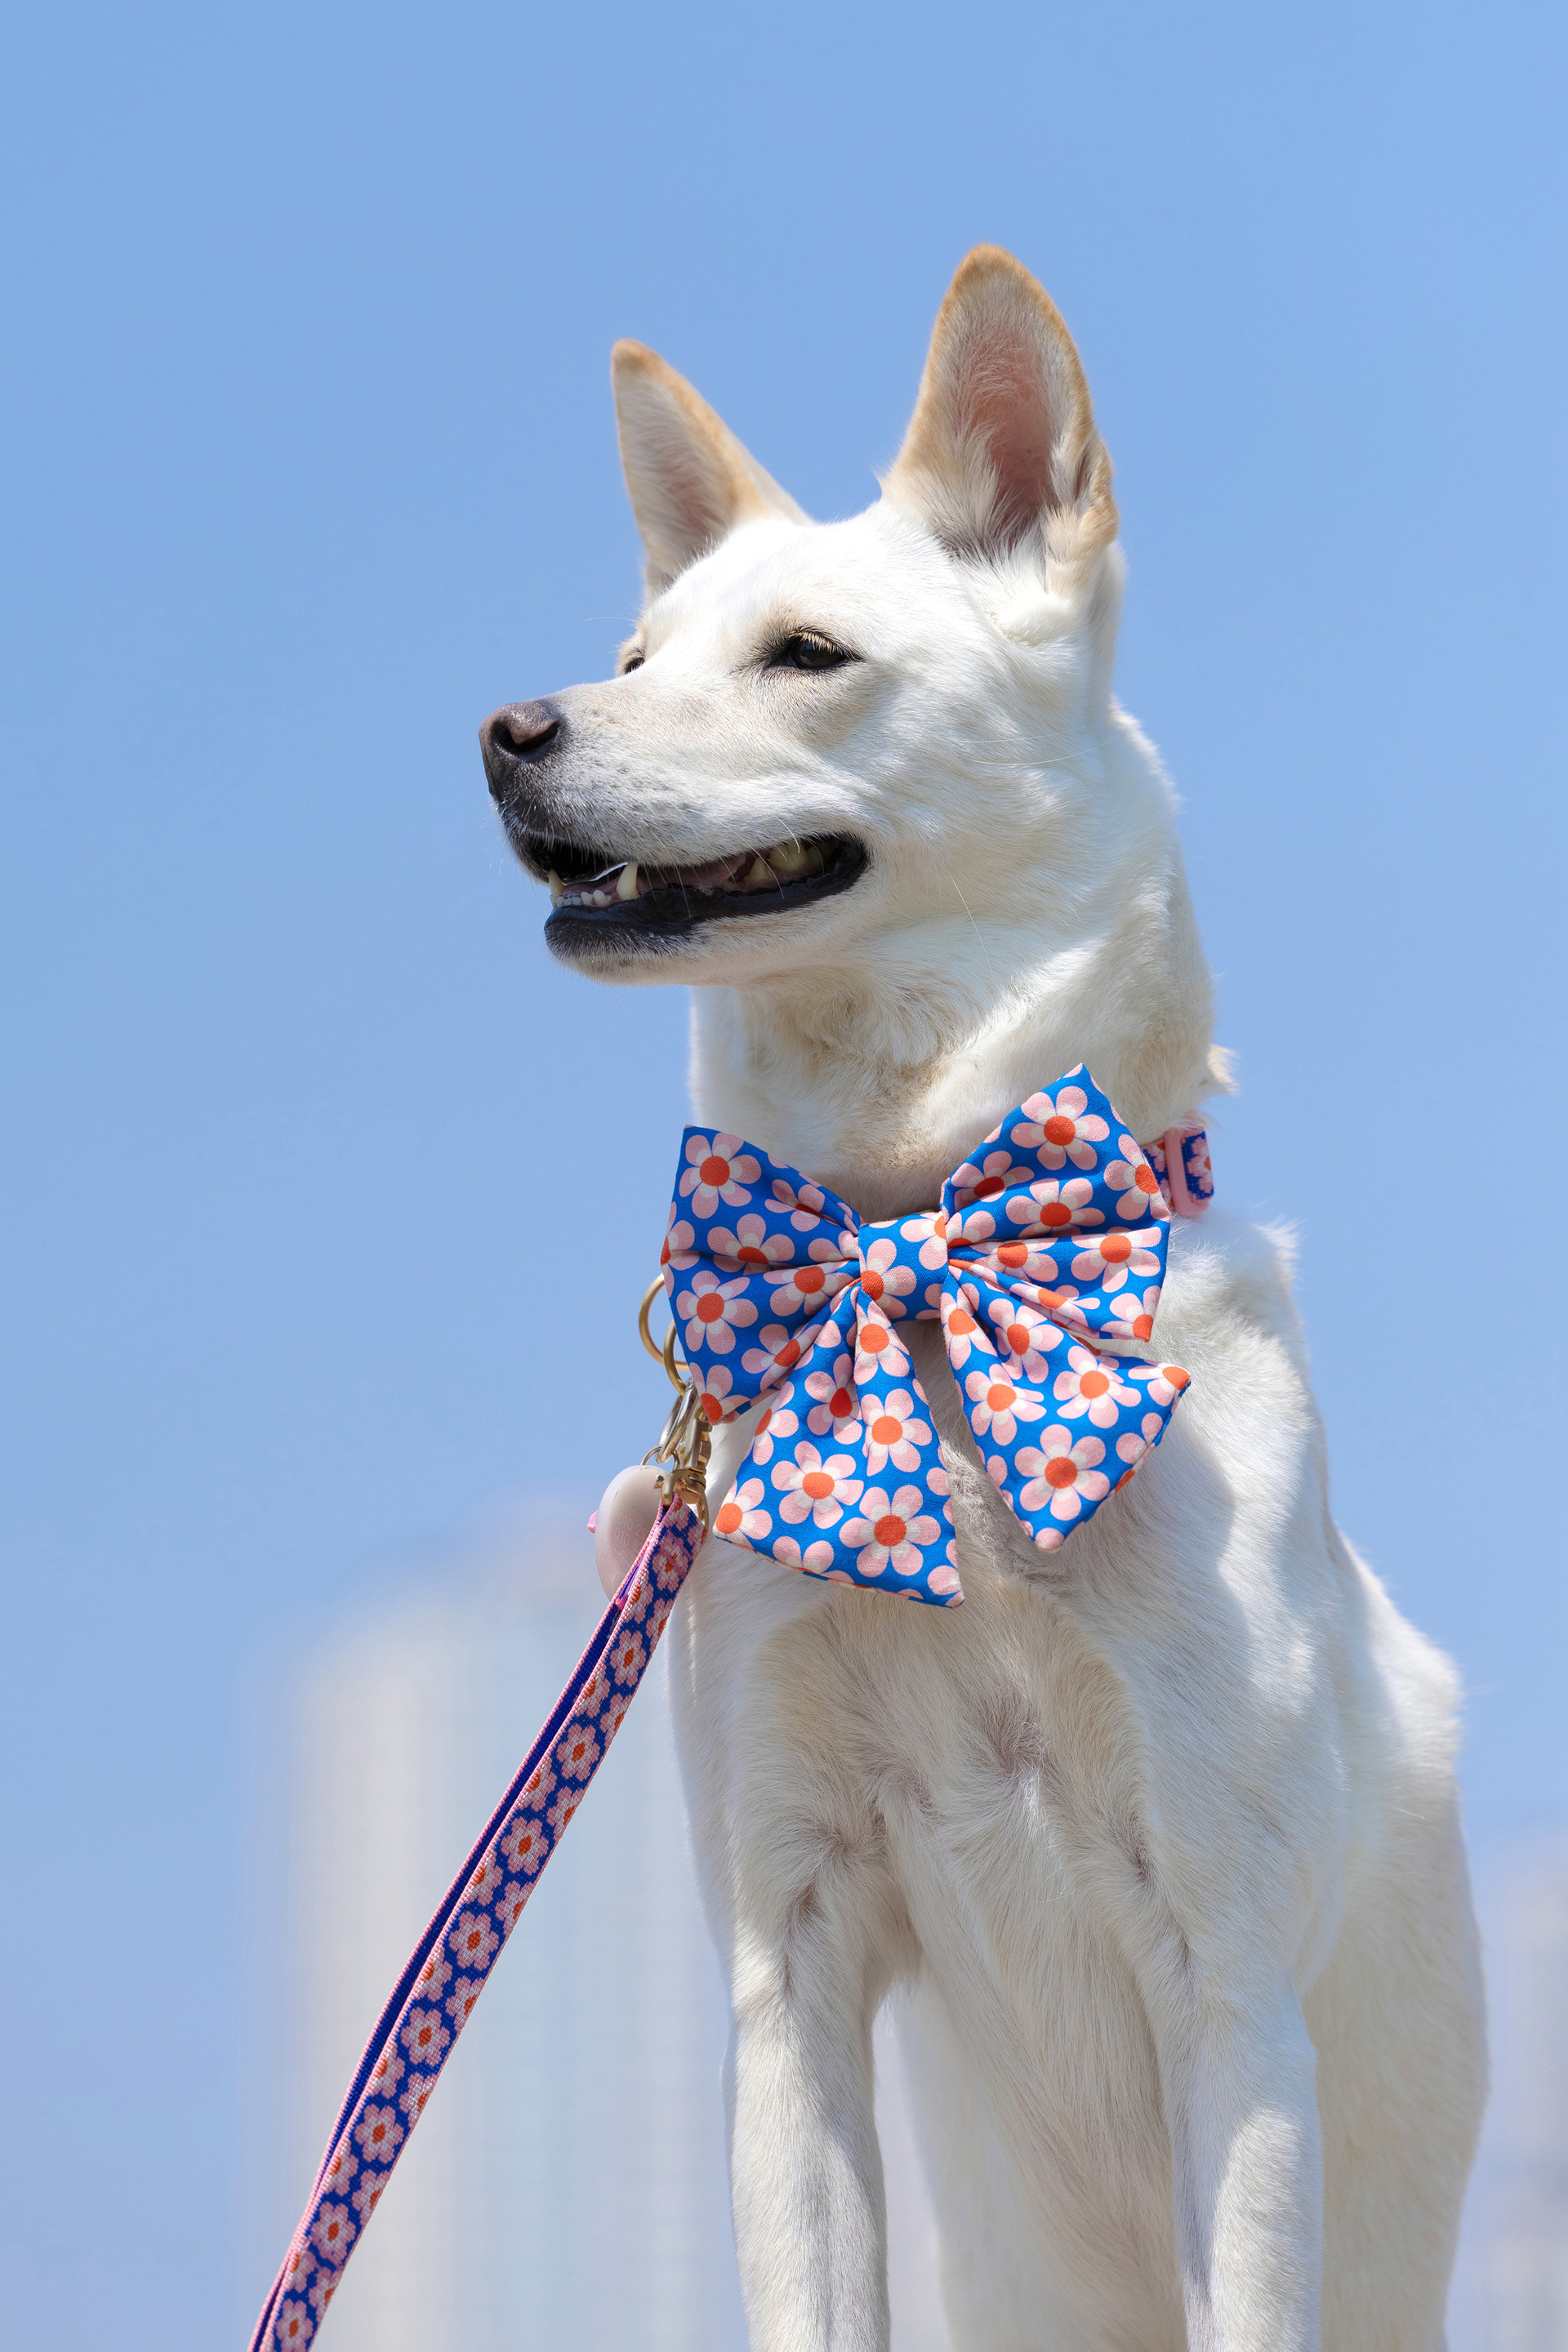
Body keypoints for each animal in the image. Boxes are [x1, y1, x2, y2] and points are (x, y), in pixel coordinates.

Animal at [480, 247, 1486, 2352]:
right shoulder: (783, 1949)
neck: (916, 1255)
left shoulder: (1226, 1981)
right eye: (633, 655)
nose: (506, 729)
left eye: (805, 654)